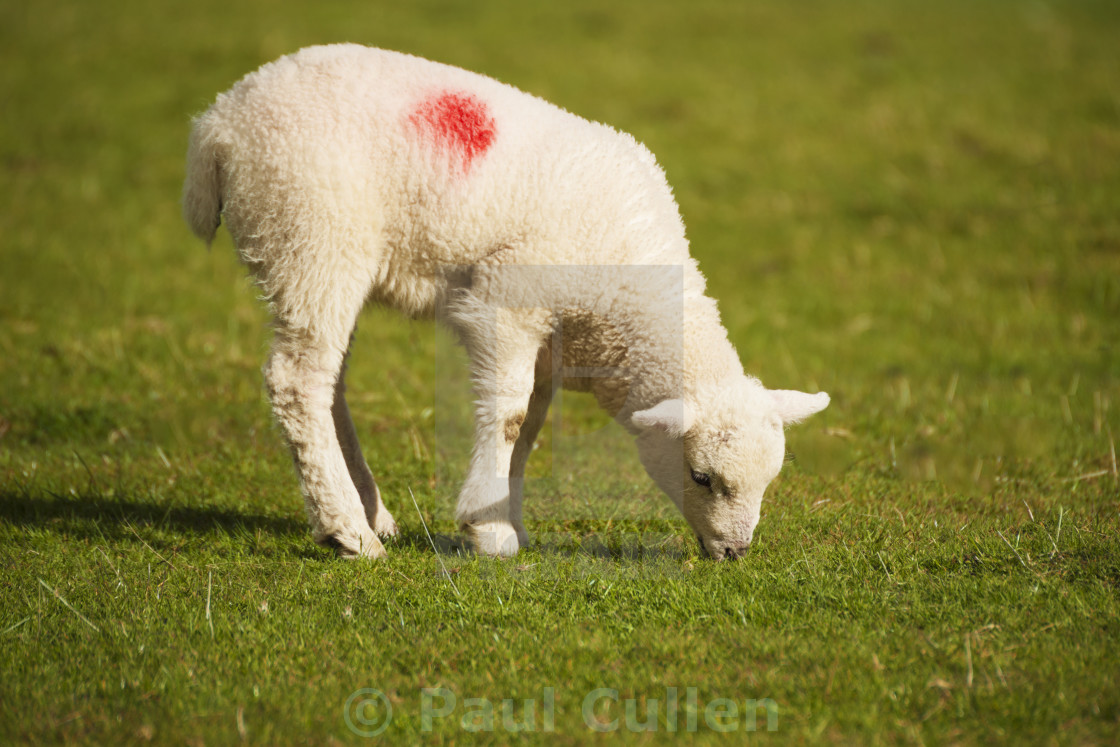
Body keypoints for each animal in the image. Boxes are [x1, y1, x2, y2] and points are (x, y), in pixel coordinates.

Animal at [183, 45, 828, 559]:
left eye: (768, 482)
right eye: (701, 477)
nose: (734, 552)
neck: (630, 303)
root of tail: (218, 122)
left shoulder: (549, 339)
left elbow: (531, 426)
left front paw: (506, 520)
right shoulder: (508, 300)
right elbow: (511, 414)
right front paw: (487, 531)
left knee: (327, 379)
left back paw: (368, 511)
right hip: (311, 236)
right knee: (297, 381)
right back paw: (348, 532)